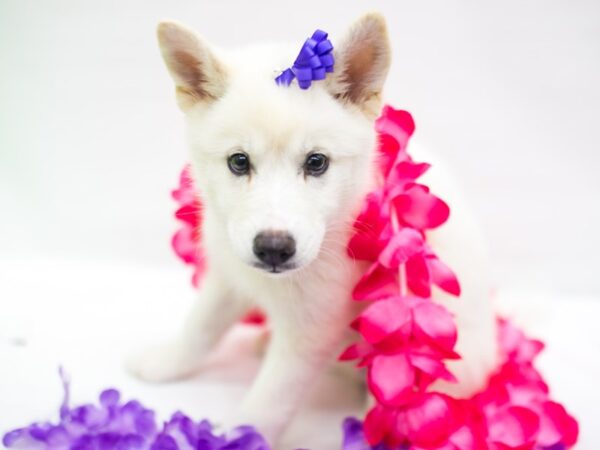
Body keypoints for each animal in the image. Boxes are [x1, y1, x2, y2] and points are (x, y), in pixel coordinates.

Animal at [129, 13, 500, 446]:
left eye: (316, 162)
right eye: (239, 161)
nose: (273, 248)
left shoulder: (310, 332)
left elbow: (269, 400)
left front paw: (241, 437)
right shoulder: (228, 274)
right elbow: (200, 327)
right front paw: (166, 361)